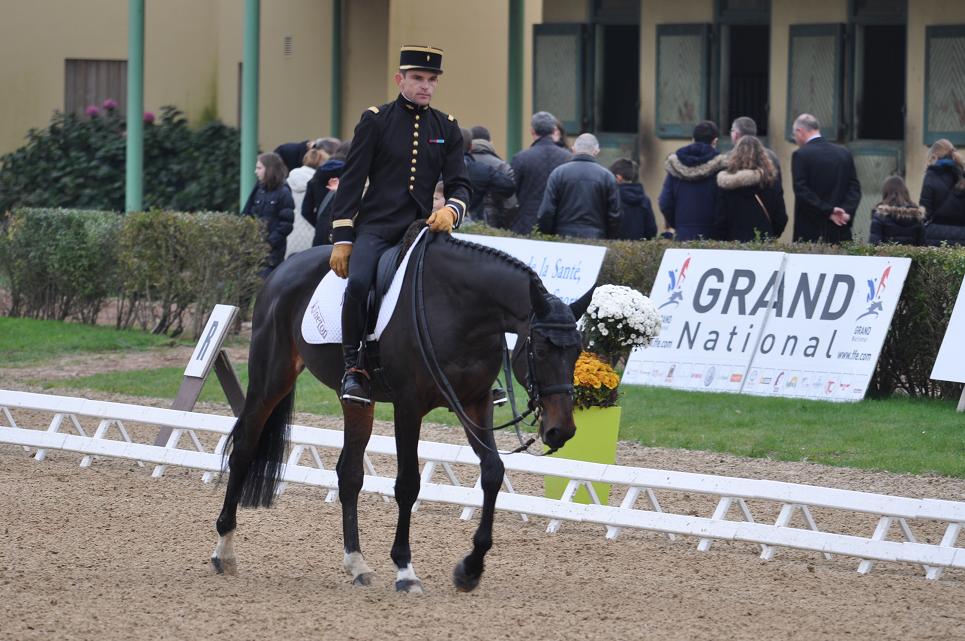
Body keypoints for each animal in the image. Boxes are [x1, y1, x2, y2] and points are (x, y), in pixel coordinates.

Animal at [211, 228, 588, 592]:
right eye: (541, 350)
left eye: (577, 352)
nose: (561, 430)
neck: (459, 309)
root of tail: (283, 268)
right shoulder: (409, 406)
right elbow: (408, 484)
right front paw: (405, 569)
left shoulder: (476, 403)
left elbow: (493, 472)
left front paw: (470, 568)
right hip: (271, 378)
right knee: (244, 450)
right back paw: (223, 550)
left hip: (358, 402)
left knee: (349, 473)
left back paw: (358, 565)